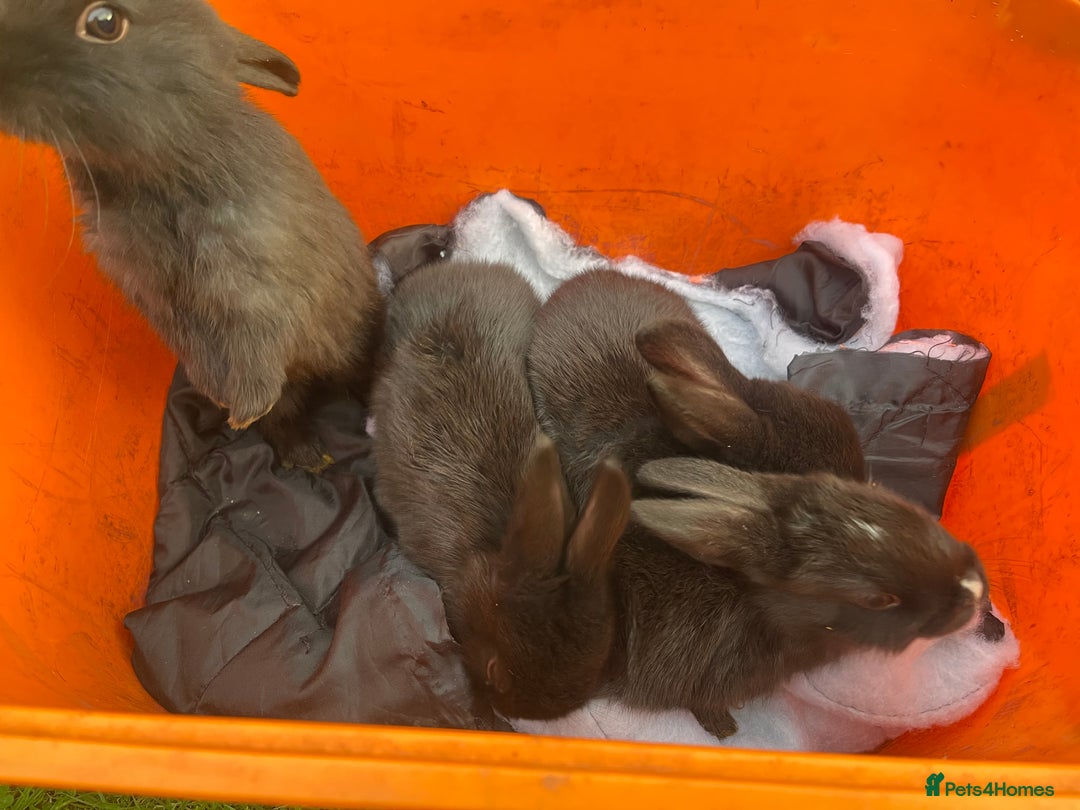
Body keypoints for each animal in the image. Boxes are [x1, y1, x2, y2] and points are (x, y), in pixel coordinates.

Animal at [0, 0, 383, 472]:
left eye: (105, 23)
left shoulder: (255, 289)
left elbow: (259, 350)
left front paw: (243, 409)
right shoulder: (163, 306)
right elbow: (201, 354)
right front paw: (220, 398)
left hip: (351, 343)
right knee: (285, 417)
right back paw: (309, 457)